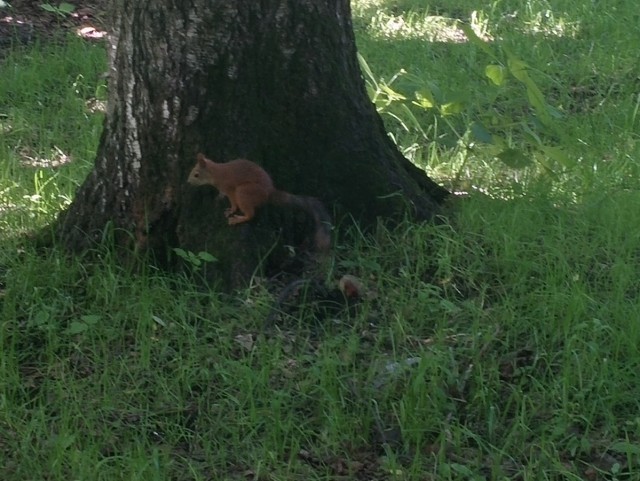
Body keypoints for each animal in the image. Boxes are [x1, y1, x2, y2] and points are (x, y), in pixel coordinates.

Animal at [188, 153, 332, 251]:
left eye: (196, 174)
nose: (188, 182)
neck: (216, 172)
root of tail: (269, 192)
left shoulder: (229, 188)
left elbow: (233, 202)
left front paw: (231, 210)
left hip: (244, 191)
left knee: (250, 214)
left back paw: (239, 219)